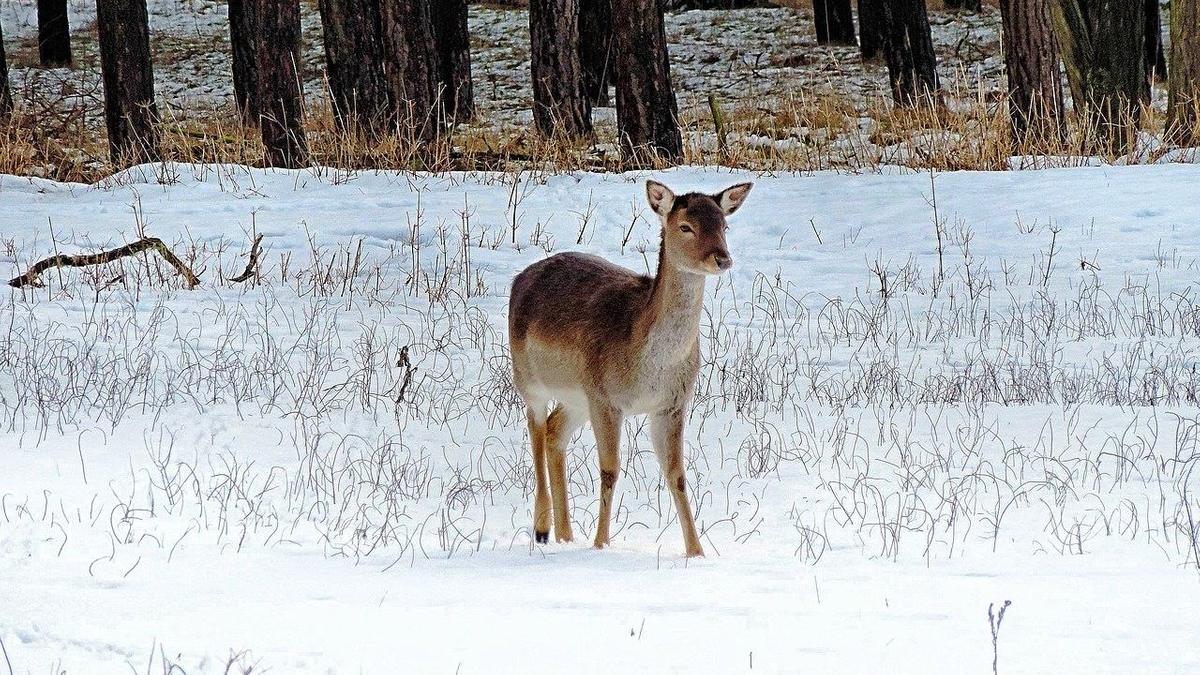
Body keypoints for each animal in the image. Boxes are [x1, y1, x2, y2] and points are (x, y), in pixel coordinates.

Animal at [506, 176, 748, 554]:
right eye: (685, 226)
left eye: (724, 225)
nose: (722, 259)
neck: (649, 366)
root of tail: (520, 278)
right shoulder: (606, 398)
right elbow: (610, 469)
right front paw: (601, 543)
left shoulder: (672, 404)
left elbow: (677, 474)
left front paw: (697, 551)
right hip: (528, 378)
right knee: (535, 429)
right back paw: (543, 529)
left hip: (577, 398)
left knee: (554, 431)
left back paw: (566, 534)